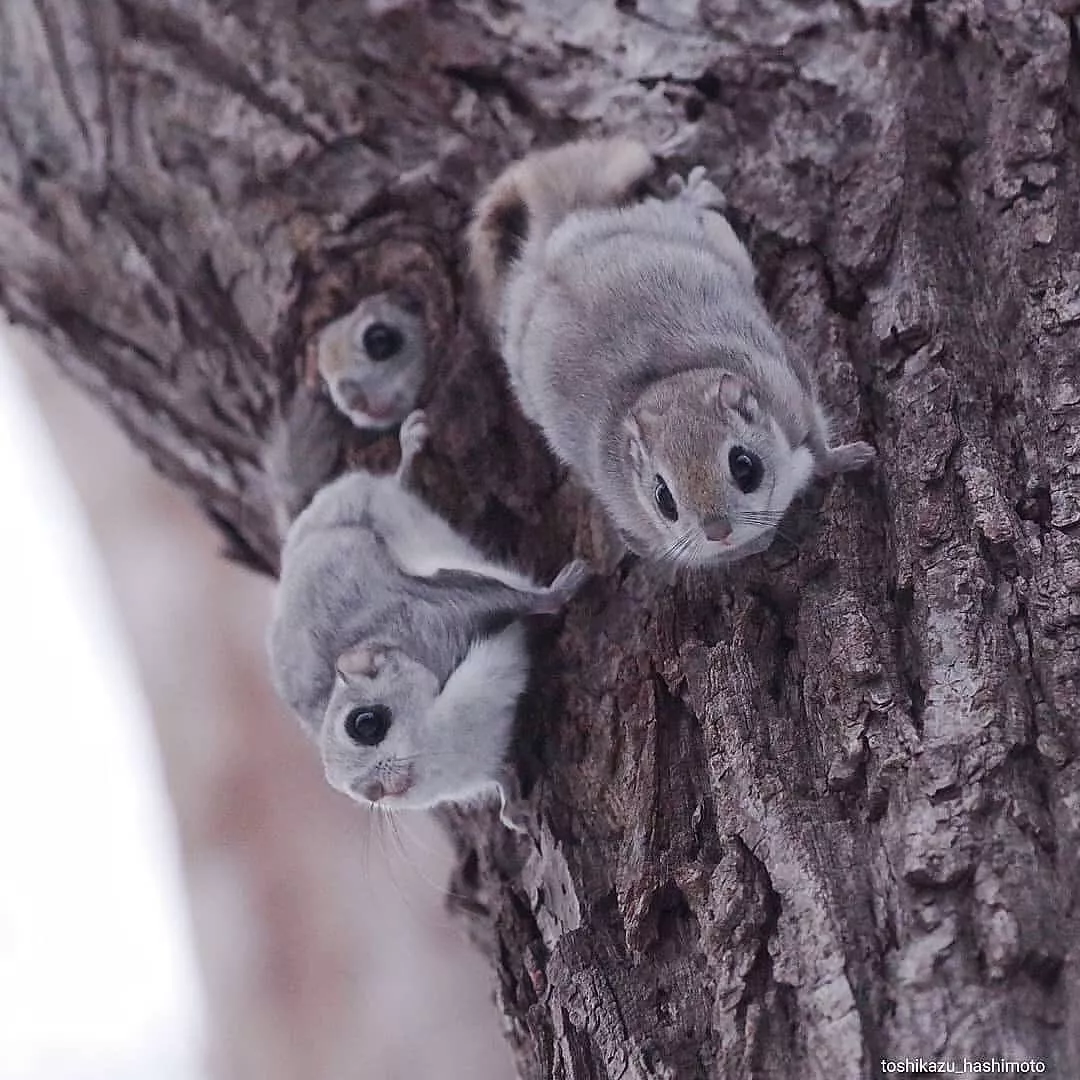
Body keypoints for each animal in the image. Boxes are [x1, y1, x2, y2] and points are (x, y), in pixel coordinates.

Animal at [265, 396, 589, 814]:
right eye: (345, 789)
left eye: (365, 723)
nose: (373, 791)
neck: (439, 745)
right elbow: (498, 781)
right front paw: (515, 809)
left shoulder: (444, 615)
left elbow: (521, 600)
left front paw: (566, 585)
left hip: (388, 510)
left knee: (394, 484)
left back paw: (408, 451)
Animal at [467, 137, 876, 568]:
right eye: (664, 499)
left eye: (744, 465)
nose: (717, 532)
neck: (663, 382)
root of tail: (555, 243)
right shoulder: (641, 525)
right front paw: (757, 541)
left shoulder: (786, 387)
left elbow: (817, 439)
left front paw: (847, 457)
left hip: (708, 236)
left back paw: (692, 195)